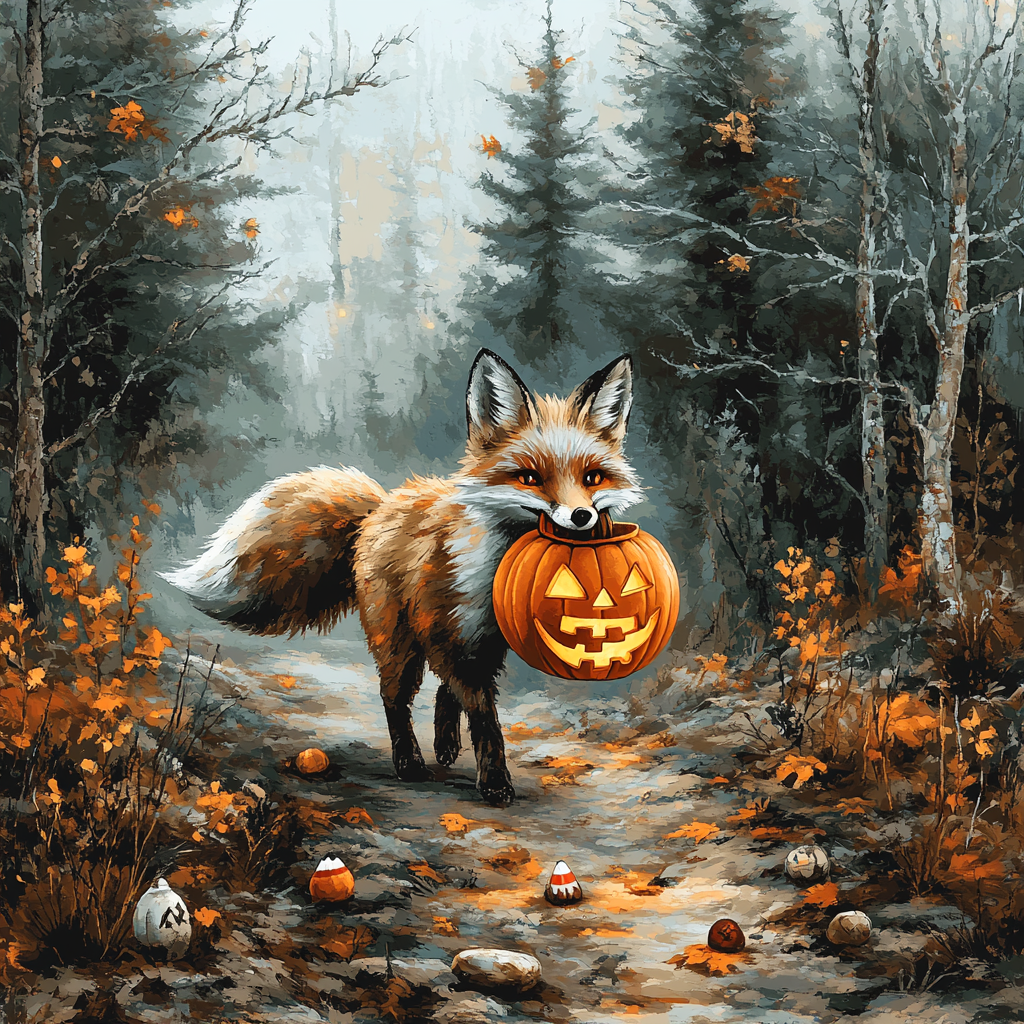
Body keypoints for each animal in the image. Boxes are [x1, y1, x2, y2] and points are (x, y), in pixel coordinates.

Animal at [163, 349, 643, 805]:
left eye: (592, 477)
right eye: (530, 478)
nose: (581, 516)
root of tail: (379, 508)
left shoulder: (484, 643)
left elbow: (465, 699)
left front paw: (464, 752)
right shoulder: (455, 637)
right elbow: (485, 719)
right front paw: (495, 783)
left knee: (435, 690)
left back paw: (442, 745)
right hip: (398, 641)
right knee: (394, 697)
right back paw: (409, 761)